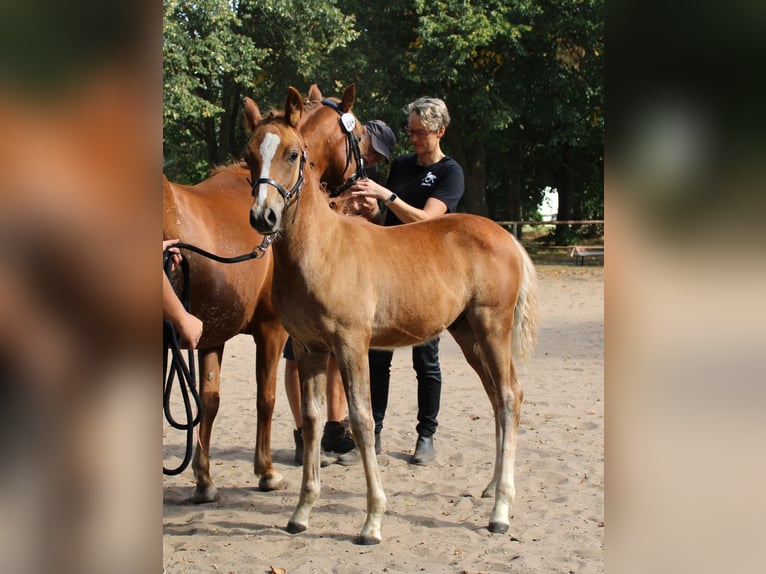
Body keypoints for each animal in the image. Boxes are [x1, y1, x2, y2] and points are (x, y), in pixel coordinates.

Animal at [163, 83, 369, 502]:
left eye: (292, 153)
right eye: (359, 132)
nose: (262, 218)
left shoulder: (210, 332)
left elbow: (209, 401)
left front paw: (204, 480)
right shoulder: (273, 330)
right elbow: (267, 398)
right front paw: (266, 472)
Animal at [243, 87, 539, 544]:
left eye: (293, 154)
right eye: (248, 156)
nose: (263, 216)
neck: (321, 248)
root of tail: (505, 235)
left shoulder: (351, 344)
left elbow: (363, 420)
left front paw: (372, 521)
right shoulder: (309, 347)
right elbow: (311, 420)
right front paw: (301, 513)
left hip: (493, 327)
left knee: (509, 396)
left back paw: (501, 511)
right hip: (468, 334)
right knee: (497, 396)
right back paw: (491, 488)